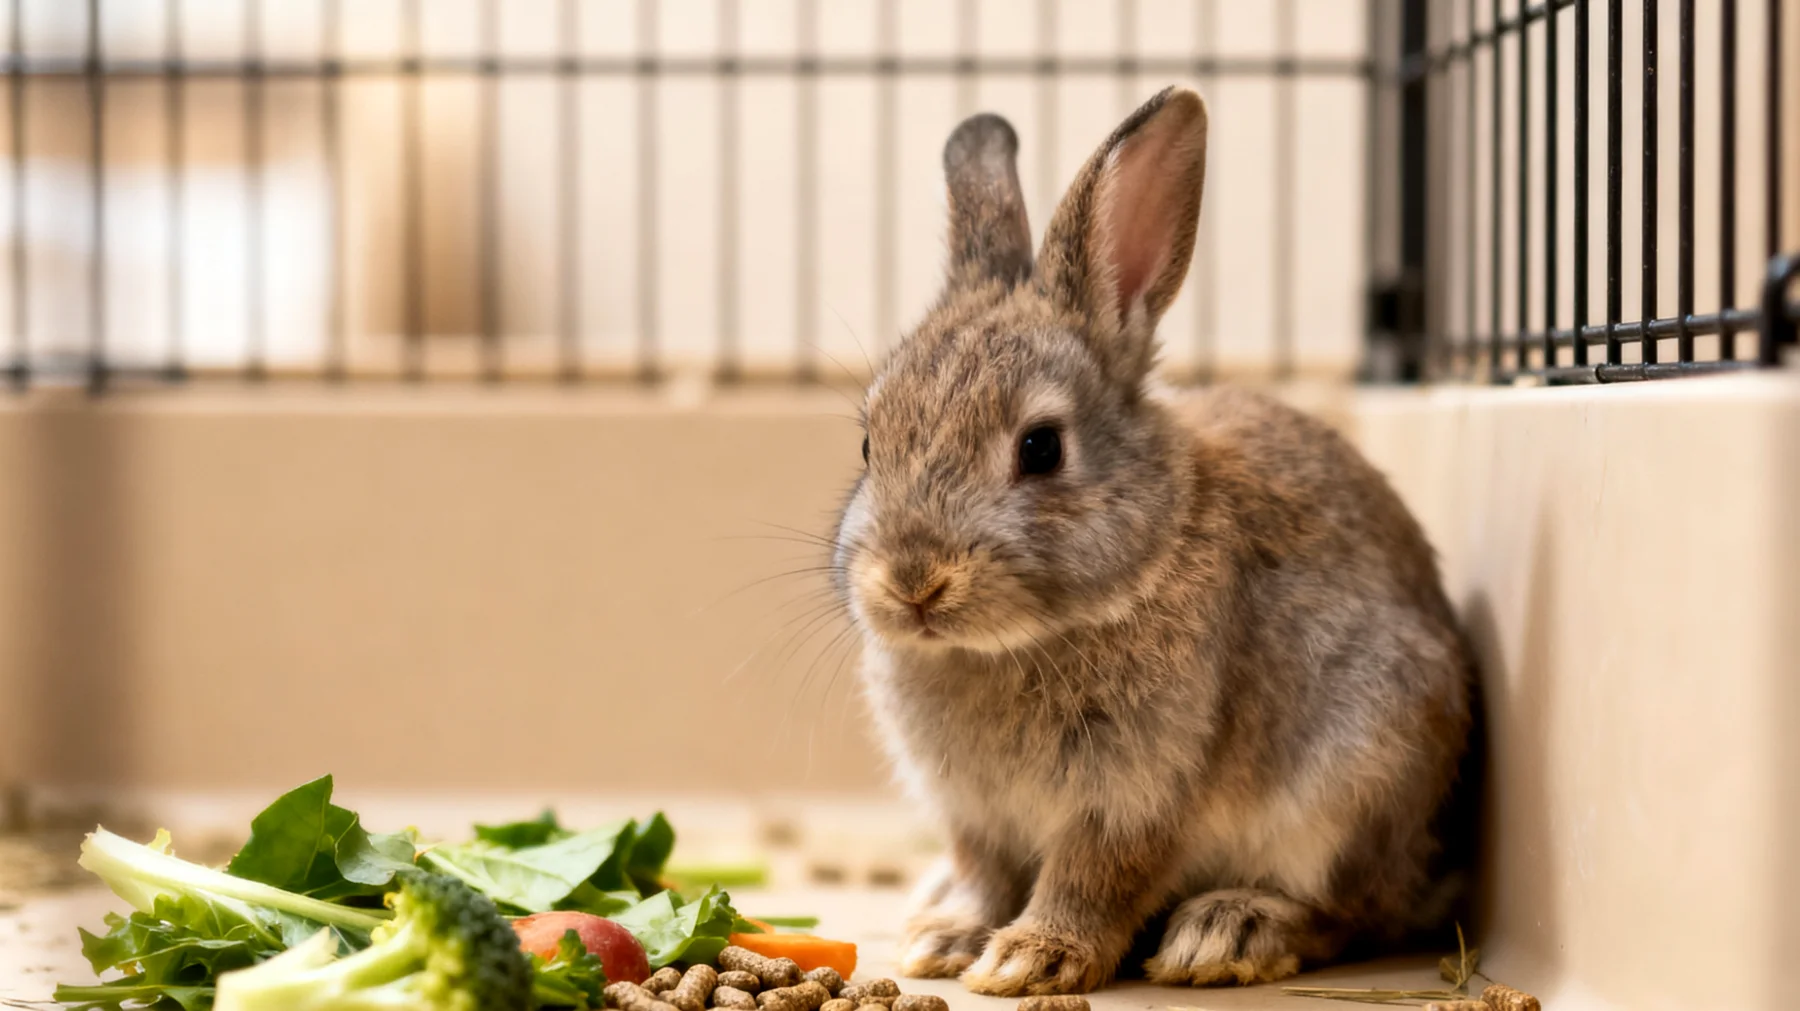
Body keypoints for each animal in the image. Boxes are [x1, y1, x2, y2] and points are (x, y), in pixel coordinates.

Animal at [829, 86, 1474, 996]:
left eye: (1040, 448)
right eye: (867, 444)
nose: (913, 582)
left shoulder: (1136, 794)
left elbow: (1094, 876)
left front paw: (1030, 957)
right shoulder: (975, 815)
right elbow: (985, 870)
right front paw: (946, 939)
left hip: (1362, 775)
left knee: (1349, 910)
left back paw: (1229, 931)